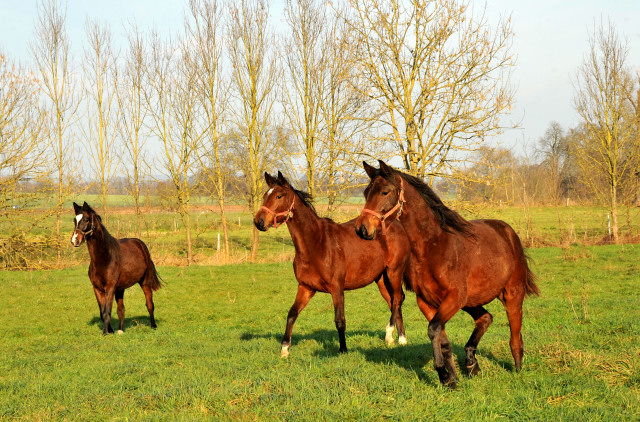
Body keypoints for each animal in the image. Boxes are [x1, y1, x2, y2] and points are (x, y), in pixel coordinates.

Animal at [70, 201, 162, 332]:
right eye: (75, 220)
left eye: (87, 219)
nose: (75, 240)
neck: (105, 258)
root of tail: (140, 244)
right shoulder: (97, 289)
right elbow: (103, 312)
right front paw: (110, 331)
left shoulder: (110, 288)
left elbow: (107, 312)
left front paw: (105, 332)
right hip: (120, 289)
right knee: (121, 310)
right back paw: (120, 330)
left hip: (144, 283)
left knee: (150, 304)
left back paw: (153, 326)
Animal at [252, 171, 408, 356]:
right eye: (264, 196)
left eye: (278, 196)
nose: (259, 221)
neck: (315, 244)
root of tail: (396, 224)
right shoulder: (305, 287)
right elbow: (292, 313)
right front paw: (284, 349)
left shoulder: (337, 289)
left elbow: (339, 320)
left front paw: (343, 349)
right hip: (381, 279)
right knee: (394, 301)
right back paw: (398, 339)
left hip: (394, 272)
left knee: (398, 299)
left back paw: (395, 336)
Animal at [352, 162, 536, 390]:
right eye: (366, 192)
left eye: (385, 192)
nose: (361, 229)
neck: (433, 247)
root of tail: (508, 232)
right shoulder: (428, 302)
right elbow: (443, 339)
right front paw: (451, 378)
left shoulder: (453, 298)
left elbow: (433, 330)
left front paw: (442, 373)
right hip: (470, 301)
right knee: (485, 318)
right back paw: (471, 364)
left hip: (511, 294)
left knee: (515, 332)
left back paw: (516, 369)